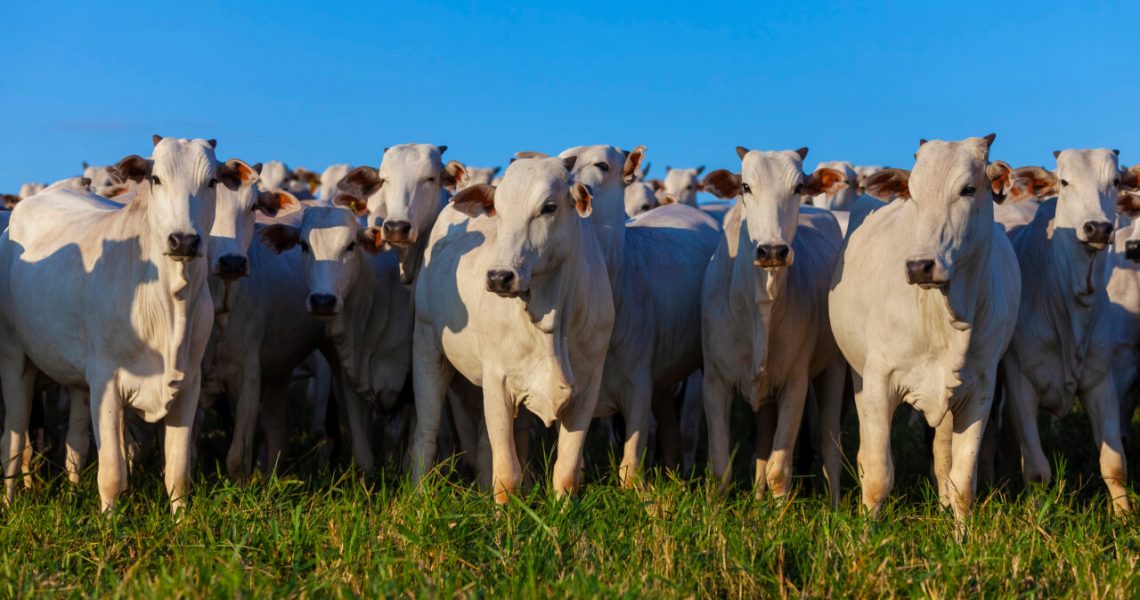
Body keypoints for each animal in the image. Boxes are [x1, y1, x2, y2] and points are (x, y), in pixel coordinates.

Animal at [0, 135, 242, 513]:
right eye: (156, 179)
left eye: (212, 182)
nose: (184, 240)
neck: (169, 304)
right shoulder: (107, 383)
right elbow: (113, 472)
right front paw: (110, 522)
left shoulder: (189, 385)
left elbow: (177, 473)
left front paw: (182, 520)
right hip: (14, 358)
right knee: (12, 439)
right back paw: (10, 505)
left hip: (77, 381)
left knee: (75, 444)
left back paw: (72, 493)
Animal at [410, 156, 615, 504]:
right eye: (499, 209)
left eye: (549, 207)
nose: (499, 277)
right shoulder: (498, 382)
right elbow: (507, 473)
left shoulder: (589, 385)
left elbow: (566, 471)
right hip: (427, 349)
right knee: (426, 431)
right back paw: (419, 495)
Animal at [697, 148, 852, 506]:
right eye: (745, 187)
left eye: (799, 188)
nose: (772, 250)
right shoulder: (715, 382)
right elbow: (721, 468)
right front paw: (713, 512)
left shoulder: (794, 382)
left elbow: (779, 470)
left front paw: (779, 517)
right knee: (763, 445)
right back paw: (757, 501)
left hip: (833, 370)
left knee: (829, 447)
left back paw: (835, 504)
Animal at [825, 136, 1021, 522]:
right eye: (913, 194)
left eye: (968, 189)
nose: (919, 266)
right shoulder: (879, 382)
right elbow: (878, 475)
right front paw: (866, 533)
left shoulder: (980, 390)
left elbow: (962, 482)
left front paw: (962, 534)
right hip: (853, 373)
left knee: (943, 457)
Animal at [1003, 149, 1135, 513]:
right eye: (1064, 181)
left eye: (1115, 181)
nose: (1097, 227)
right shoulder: (1020, 382)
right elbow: (1036, 470)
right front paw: (1036, 515)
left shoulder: (1101, 381)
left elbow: (1114, 464)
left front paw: (1124, 517)